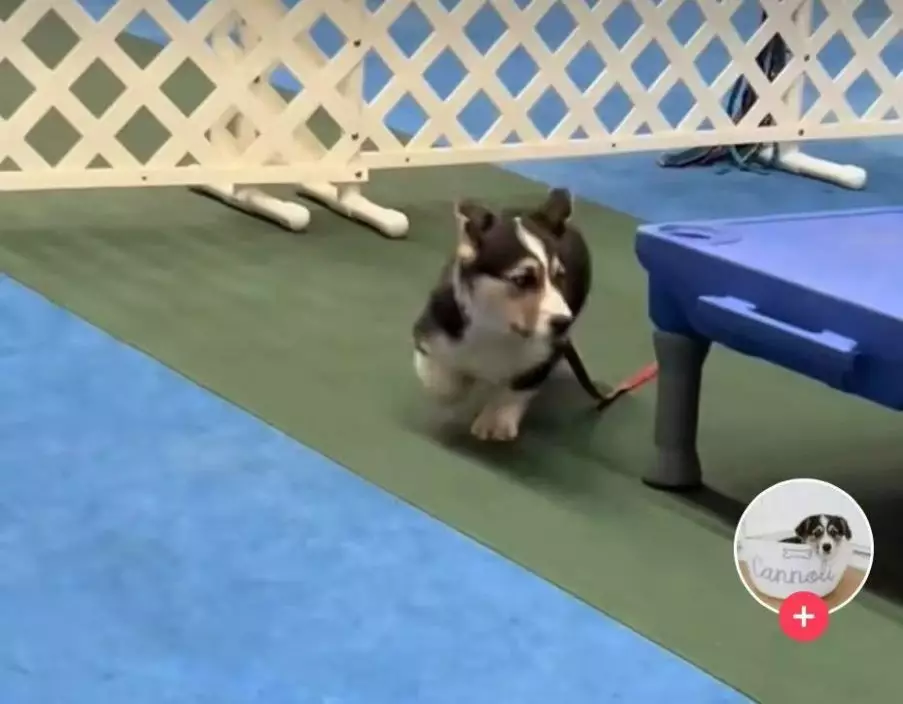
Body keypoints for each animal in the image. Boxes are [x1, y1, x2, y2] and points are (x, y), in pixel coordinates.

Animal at [412, 188, 593, 441]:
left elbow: (516, 388)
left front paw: (495, 421)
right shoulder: (431, 333)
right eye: (522, 279)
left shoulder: (547, 355)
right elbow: (443, 382)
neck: (498, 329)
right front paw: (459, 384)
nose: (564, 323)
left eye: (559, 276)